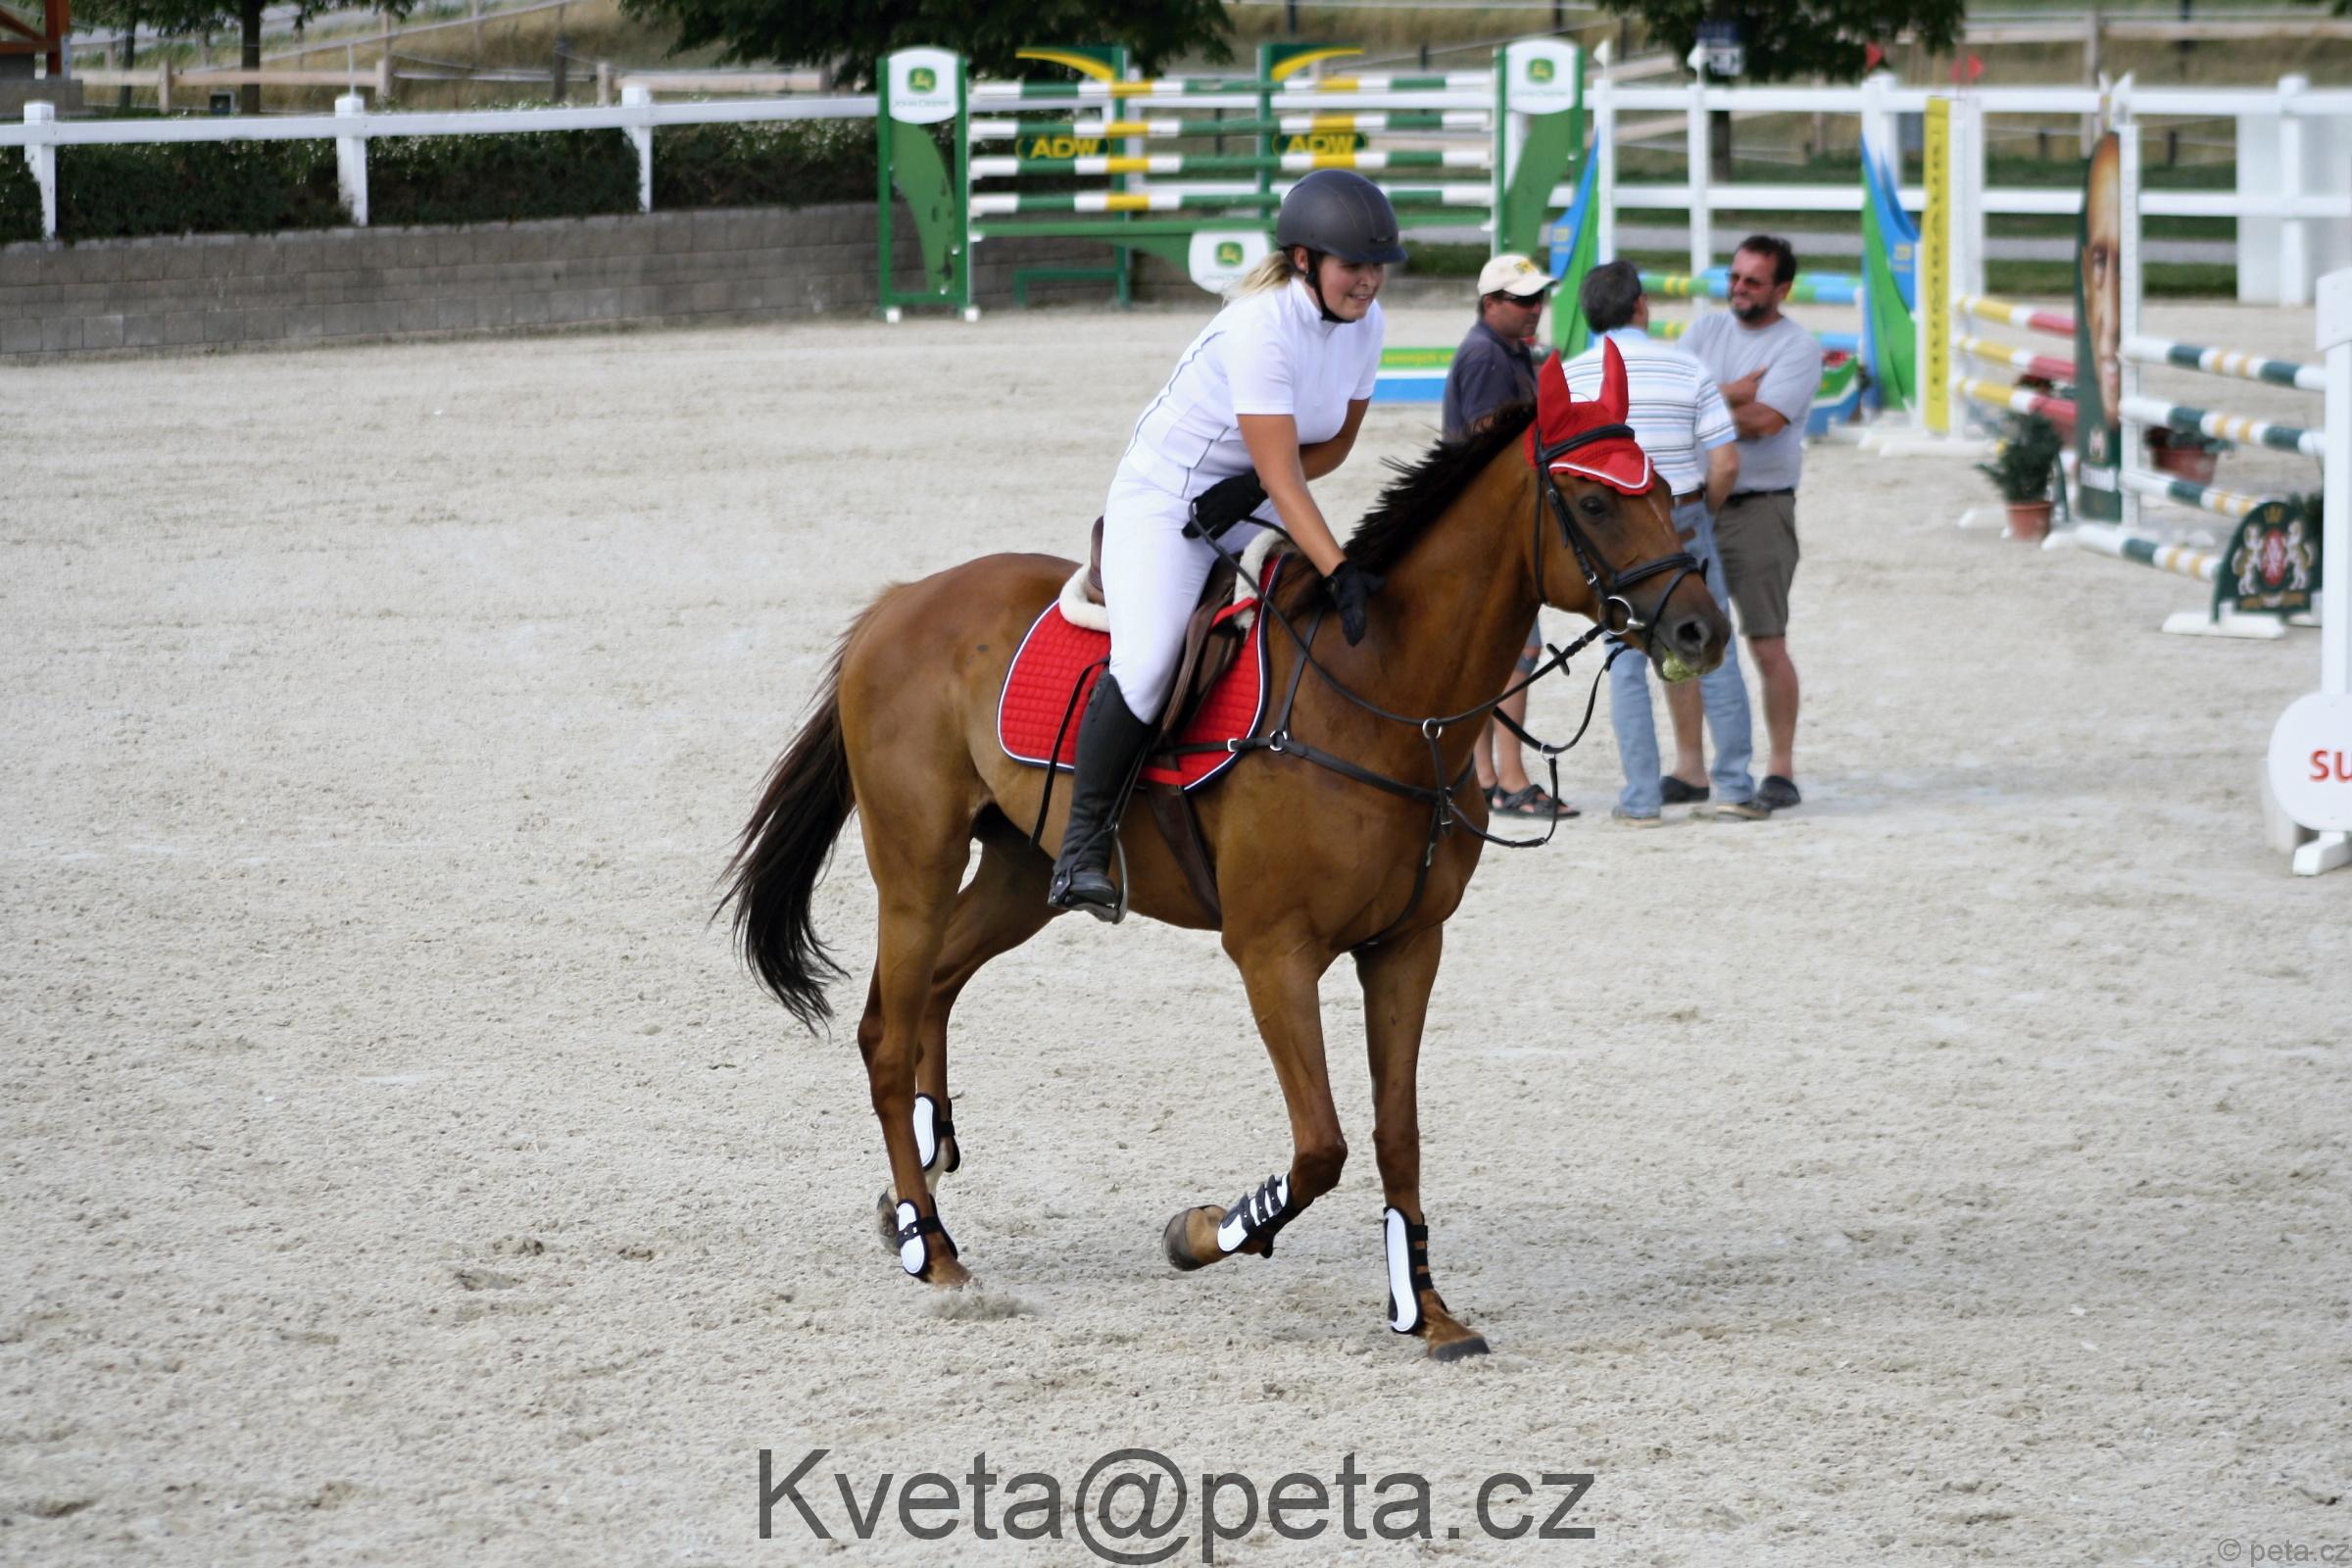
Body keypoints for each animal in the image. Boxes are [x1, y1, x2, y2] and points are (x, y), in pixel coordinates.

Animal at [720, 342, 1728, 1360]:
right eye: (1594, 502)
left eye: (1663, 486)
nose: (1702, 629)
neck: (1385, 697)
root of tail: (901, 602)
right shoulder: (1272, 952)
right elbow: (1321, 1146)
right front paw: (1206, 1231)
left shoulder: (1407, 947)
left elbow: (1395, 1135)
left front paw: (1426, 1310)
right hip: (916, 865)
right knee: (886, 1032)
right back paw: (931, 1246)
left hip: (1022, 875)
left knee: (931, 988)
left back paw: (914, 1189)